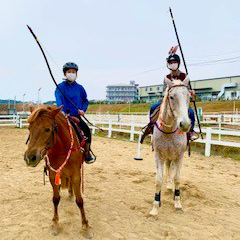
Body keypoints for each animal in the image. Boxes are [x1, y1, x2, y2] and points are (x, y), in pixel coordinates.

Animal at [23, 106, 93, 238]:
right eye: (29, 128)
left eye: (48, 129)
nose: (30, 158)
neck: (62, 149)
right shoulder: (52, 175)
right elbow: (55, 199)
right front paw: (55, 224)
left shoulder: (76, 175)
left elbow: (80, 201)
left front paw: (86, 226)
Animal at [150, 77, 191, 216]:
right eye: (172, 97)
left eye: (189, 96)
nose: (185, 124)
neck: (168, 132)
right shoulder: (158, 155)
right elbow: (158, 180)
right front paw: (155, 206)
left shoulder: (179, 156)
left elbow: (177, 178)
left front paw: (178, 204)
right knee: (168, 168)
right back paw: (168, 186)